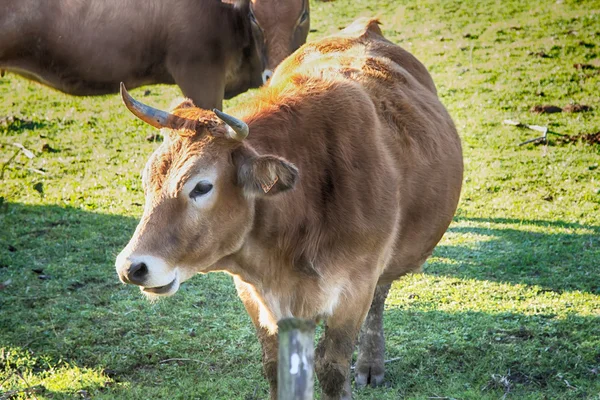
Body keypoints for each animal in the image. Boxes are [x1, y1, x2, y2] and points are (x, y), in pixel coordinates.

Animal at [112, 17, 462, 398]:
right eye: (147, 179)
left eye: (202, 186)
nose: (132, 267)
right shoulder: (253, 293)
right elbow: (274, 365)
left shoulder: (355, 288)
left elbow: (332, 367)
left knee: (380, 299)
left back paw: (371, 363)